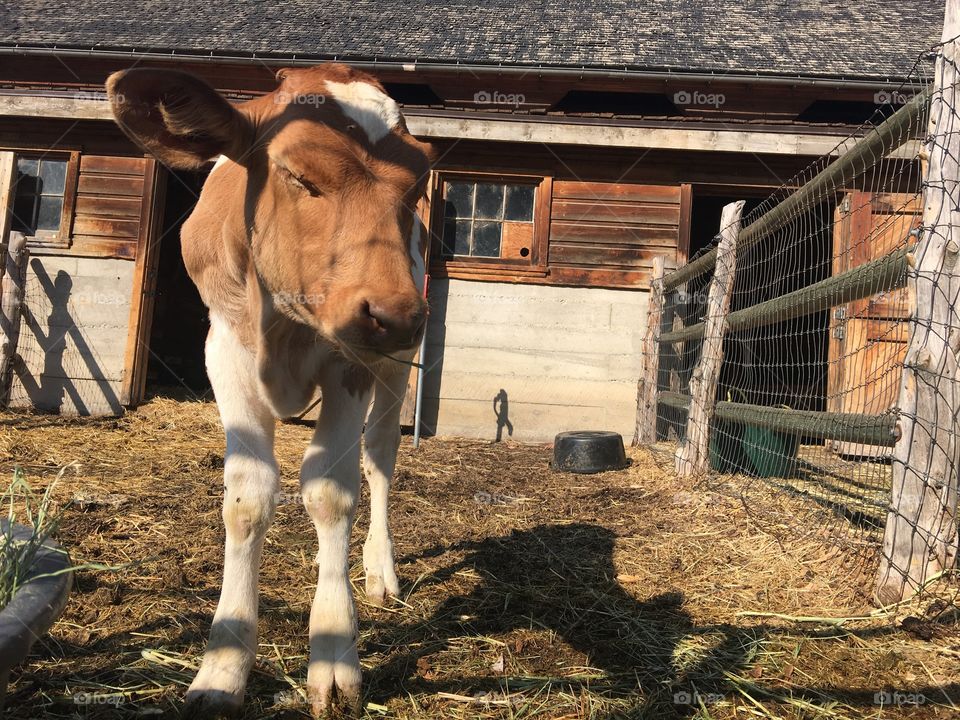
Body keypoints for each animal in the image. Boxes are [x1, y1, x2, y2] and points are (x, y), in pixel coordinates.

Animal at [106, 64, 433, 716]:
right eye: (300, 176)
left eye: (416, 187)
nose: (396, 314)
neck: (282, 322)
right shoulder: (225, 349)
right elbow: (248, 496)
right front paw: (222, 669)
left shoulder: (350, 362)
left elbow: (331, 491)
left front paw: (334, 653)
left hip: (393, 365)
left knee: (379, 456)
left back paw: (378, 569)